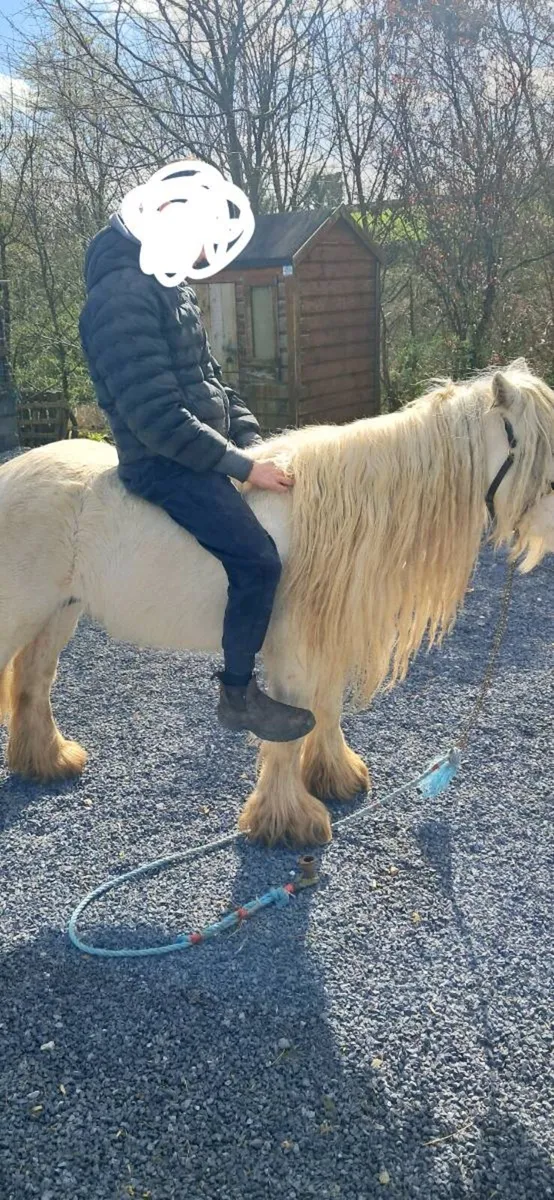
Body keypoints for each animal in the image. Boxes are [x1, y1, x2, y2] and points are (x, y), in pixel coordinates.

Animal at [1, 361, 553, 845]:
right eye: (538, 453)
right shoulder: (294, 649)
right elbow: (293, 727)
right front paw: (289, 822)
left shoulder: (324, 639)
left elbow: (326, 709)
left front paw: (335, 778)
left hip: (59, 611)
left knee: (34, 680)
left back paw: (48, 762)